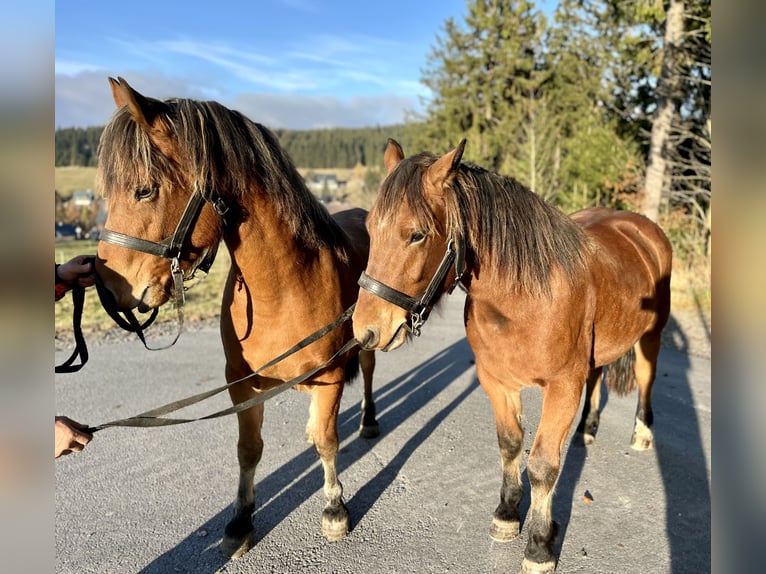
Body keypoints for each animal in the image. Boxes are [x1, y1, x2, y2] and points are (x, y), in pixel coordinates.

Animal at [95, 79, 380, 560]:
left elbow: (326, 440)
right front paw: (241, 519)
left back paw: (369, 422)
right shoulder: (241, 383)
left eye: (144, 190)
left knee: (369, 374)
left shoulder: (329, 376)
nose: (107, 289)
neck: (282, 288)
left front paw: (335, 509)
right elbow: (249, 449)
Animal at [354, 141, 672, 574]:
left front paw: (539, 545)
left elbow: (542, 466)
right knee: (598, 376)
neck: (524, 298)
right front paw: (507, 515)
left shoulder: (562, 388)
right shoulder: (497, 382)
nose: (365, 330)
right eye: (370, 229)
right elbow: (509, 445)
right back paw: (587, 429)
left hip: (651, 337)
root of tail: (642, 228)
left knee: (645, 376)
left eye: (416, 235)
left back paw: (641, 432)